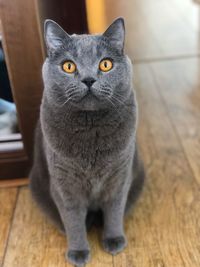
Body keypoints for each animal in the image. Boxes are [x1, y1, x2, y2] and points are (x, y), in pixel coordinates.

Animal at [29, 17, 145, 266]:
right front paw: (79, 252)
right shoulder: (64, 184)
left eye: (105, 64)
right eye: (68, 66)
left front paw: (114, 240)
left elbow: (114, 210)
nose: (89, 79)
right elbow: (73, 220)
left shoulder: (119, 176)